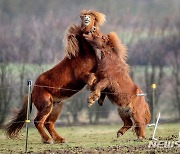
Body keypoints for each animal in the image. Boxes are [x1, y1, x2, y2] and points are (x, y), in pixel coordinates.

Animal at [5, 10, 106, 144]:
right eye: (86, 22)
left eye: (94, 19)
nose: (87, 18)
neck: (83, 55)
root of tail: (33, 92)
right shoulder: (82, 76)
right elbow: (92, 78)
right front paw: (93, 95)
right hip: (47, 105)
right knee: (38, 121)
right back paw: (48, 140)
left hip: (57, 106)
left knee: (48, 123)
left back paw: (59, 139)